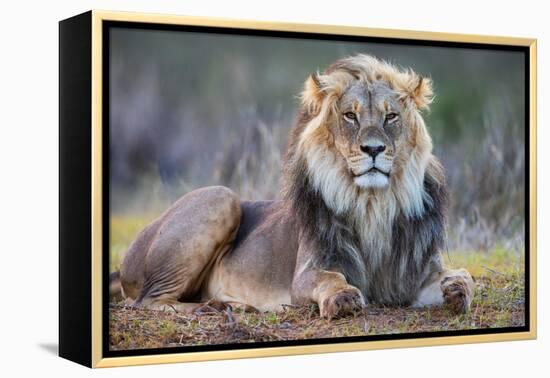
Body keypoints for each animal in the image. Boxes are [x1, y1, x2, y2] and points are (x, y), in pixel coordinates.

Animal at [110, 54, 476, 318]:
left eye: (391, 117)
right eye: (350, 116)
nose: (373, 149)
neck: (372, 203)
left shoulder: (416, 272)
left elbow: (464, 276)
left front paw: (457, 290)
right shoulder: (308, 272)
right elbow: (331, 278)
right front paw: (343, 298)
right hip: (221, 196)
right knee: (148, 302)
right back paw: (221, 306)